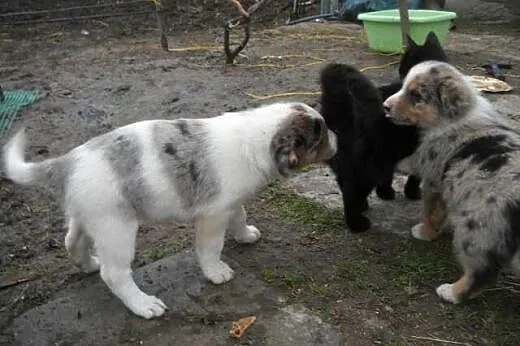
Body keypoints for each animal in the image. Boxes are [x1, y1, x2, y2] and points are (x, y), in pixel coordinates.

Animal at [3, 102, 338, 318]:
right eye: (321, 136)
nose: (337, 138)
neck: (255, 138)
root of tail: (68, 161)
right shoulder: (213, 215)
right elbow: (211, 248)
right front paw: (215, 271)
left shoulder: (231, 202)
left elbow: (240, 216)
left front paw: (245, 235)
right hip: (116, 228)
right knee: (114, 274)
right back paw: (142, 305)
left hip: (89, 216)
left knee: (71, 241)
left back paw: (87, 265)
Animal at [384, 60, 520, 304]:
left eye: (416, 95)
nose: (385, 107)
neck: (451, 118)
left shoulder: (433, 180)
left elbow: (431, 212)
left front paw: (425, 232)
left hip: (476, 230)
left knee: (480, 272)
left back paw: (451, 292)